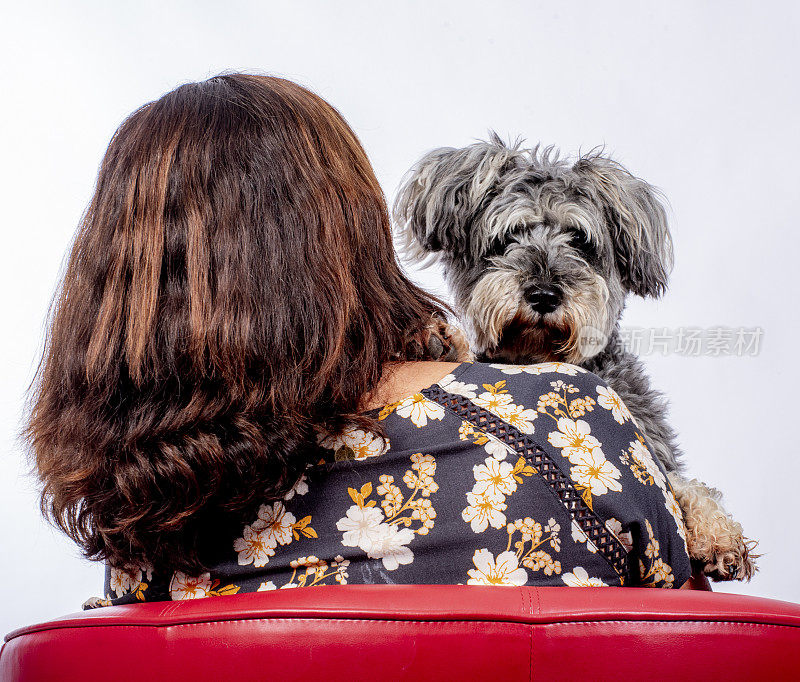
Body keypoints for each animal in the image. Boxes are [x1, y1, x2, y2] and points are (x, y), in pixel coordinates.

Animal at [394, 133, 756, 580]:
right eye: (509, 236)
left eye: (580, 240)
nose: (544, 294)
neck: (537, 354)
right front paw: (438, 340)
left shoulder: (654, 449)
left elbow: (688, 486)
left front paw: (720, 535)